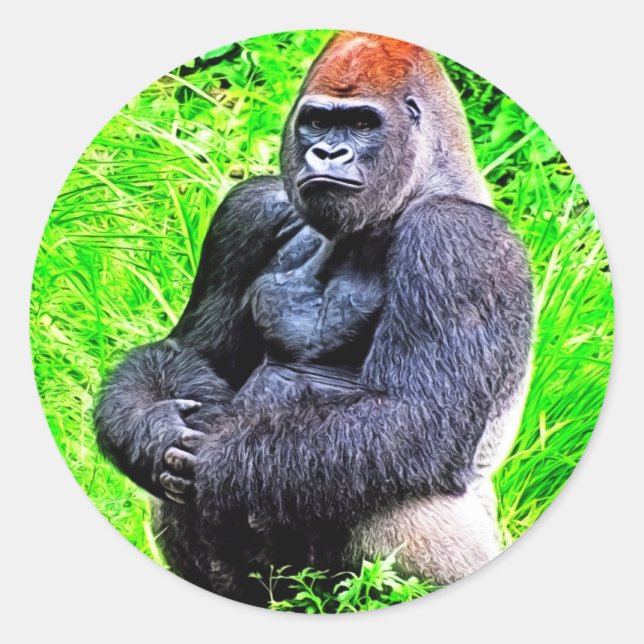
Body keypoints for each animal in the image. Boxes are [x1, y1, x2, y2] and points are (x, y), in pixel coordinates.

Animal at [94, 32, 533, 605]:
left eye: (363, 123)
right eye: (318, 122)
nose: (327, 152)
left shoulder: (458, 240)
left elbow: (413, 415)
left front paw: (217, 458)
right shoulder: (250, 208)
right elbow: (190, 355)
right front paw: (150, 429)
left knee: (401, 496)